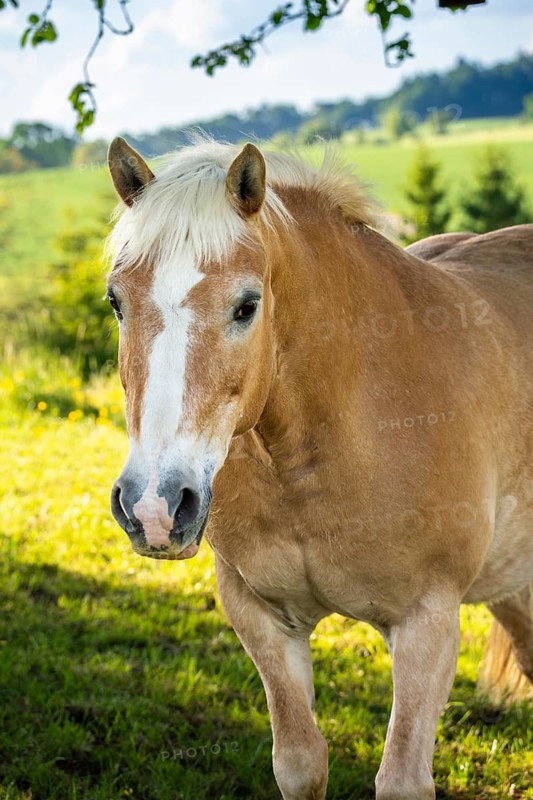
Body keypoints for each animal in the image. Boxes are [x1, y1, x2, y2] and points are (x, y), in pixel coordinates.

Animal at [105, 136, 533, 800]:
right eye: (116, 301)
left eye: (247, 305)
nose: (153, 506)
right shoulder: (262, 617)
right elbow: (301, 763)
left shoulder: (428, 625)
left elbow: (401, 779)